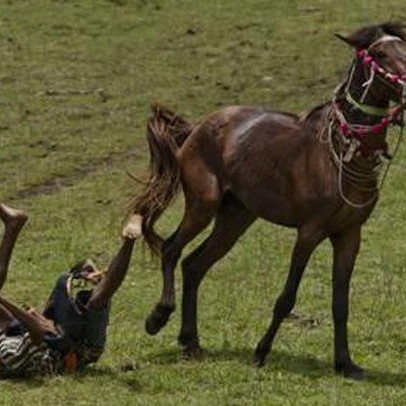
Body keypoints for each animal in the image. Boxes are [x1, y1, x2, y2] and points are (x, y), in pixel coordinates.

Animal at [132, 22, 406, 380]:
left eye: (405, 46)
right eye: (380, 53)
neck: (342, 152)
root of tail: (196, 128)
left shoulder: (349, 235)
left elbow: (341, 303)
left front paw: (345, 363)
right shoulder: (309, 233)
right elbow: (287, 297)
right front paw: (261, 352)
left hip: (235, 218)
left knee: (194, 265)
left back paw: (191, 341)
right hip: (203, 206)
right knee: (171, 249)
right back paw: (159, 317)